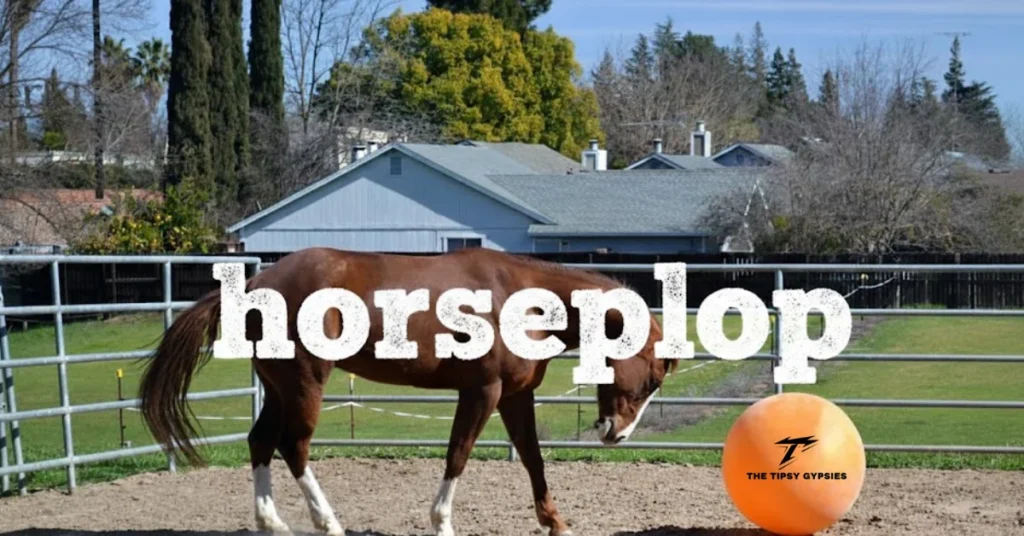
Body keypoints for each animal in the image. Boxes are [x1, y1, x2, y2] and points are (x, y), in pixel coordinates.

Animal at [138, 246, 677, 536]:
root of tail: (255, 282)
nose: (617, 435)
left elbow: (532, 458)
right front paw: (442, 521)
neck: (519, 299)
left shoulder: (514, 396)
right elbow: (458, 454)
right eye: (652, 378)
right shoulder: (482, 392)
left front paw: (555, 522)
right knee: (294, 446)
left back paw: (273, 523)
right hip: (305, 383)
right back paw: (328, 523)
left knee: (261, 442)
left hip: (277, 387)